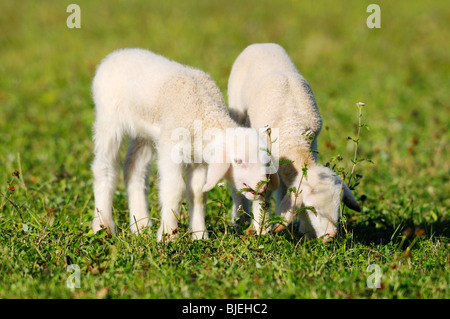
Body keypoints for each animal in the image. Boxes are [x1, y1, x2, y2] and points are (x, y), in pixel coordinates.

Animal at [91, 48, 278, 241]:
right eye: (239, 161)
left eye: (266, 162)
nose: (263, 187)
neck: (203, 111)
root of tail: (115, 54)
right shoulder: (170, 148)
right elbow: (175, 189)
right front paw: (168, 235)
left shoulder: (199, 158)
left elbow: (198, 193)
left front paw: (199, 235)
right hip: (108, 118)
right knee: (104, 167)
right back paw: (103, 226)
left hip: (143, 133)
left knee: (133, 168)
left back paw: (141, 226)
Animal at [229, 43, 362, 242]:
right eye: (313, 208)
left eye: (338, 207)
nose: (331, 236)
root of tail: (260, 44)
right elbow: (263, 192)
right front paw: (262, 229)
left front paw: (303, 231)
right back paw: (239, 219)